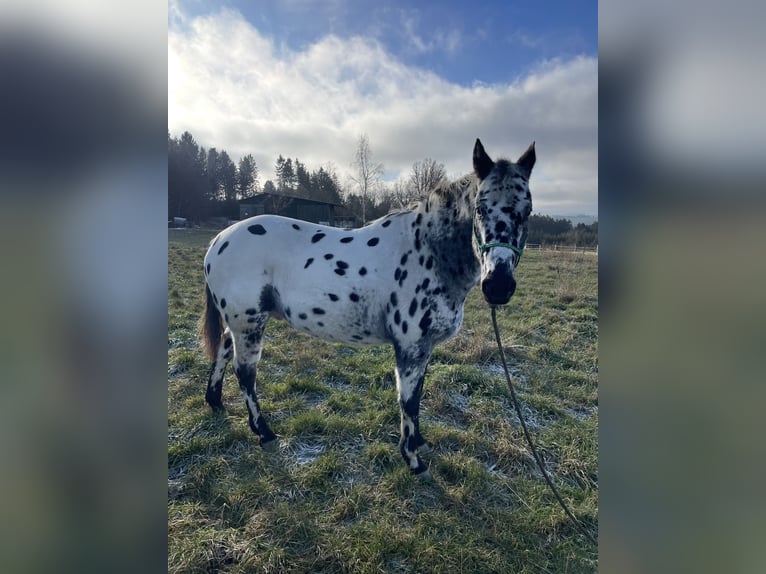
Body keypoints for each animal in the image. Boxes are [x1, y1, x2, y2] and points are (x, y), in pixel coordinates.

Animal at [201, 138, 536, 476]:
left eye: (528, 210)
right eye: (480, 208)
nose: (498, 286)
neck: (427, 252)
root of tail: (218, 240)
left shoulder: (424, 347)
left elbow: (418, 393)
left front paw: (419, 443)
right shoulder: (410, 345)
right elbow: (408, 400)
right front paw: (413, 460)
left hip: (239, 324)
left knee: (223, 351)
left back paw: (216, 402)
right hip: (249, 324)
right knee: (245, 373)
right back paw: (265, 433)